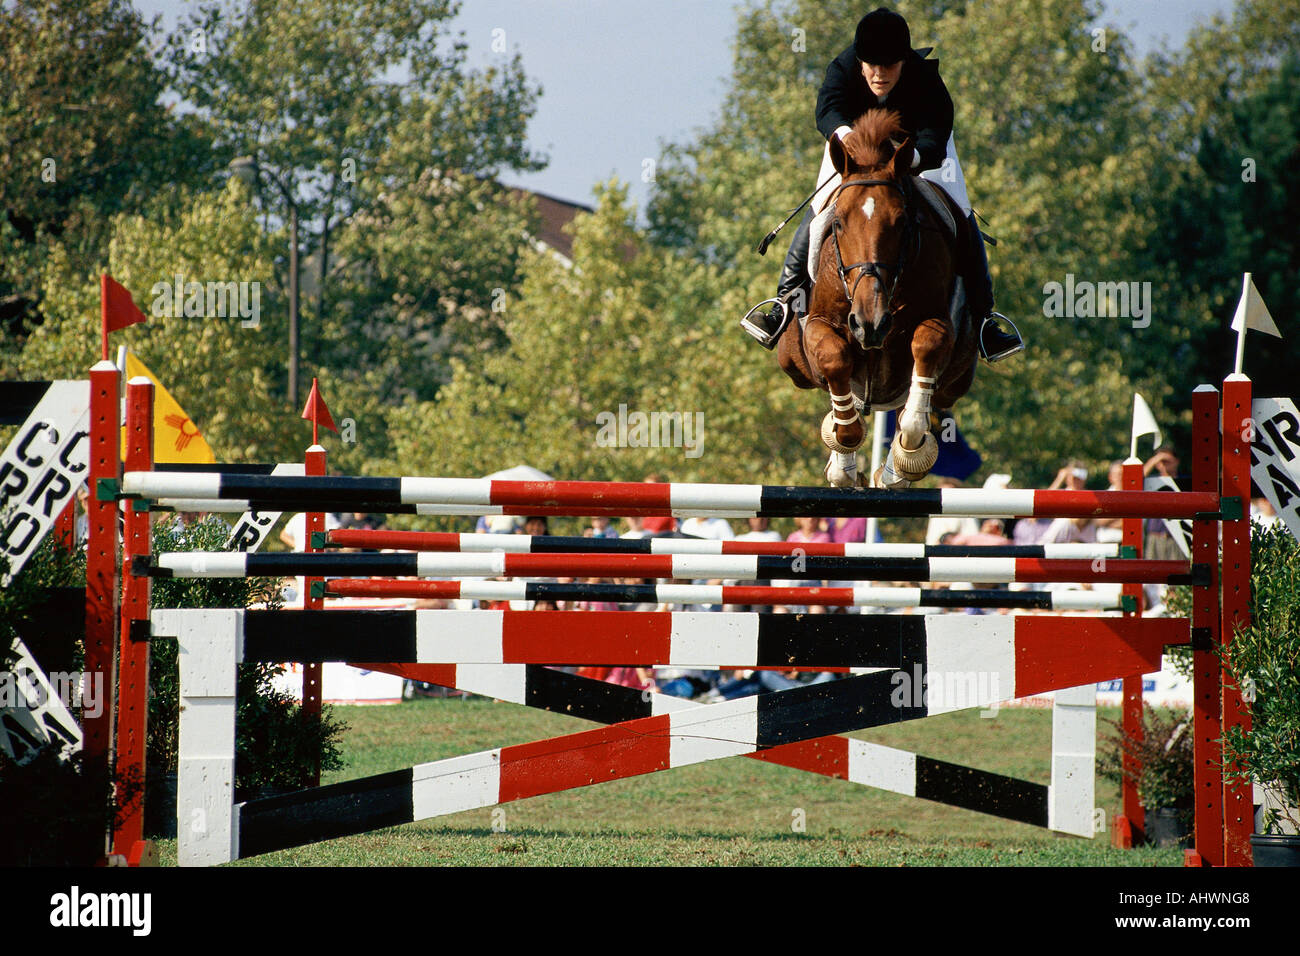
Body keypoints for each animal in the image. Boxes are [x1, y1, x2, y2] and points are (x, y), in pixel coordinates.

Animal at [775, 109, 978, 489]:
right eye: (838, 222)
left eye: (901, 223)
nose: (870, 323)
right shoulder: (817, 327)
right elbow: (834, 358)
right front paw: (844, 445)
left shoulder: (939, 323)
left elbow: (925, 349)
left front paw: (908, 452)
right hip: (794, 363)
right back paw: (843, 466)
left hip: (957, 377)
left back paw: (893, 473)